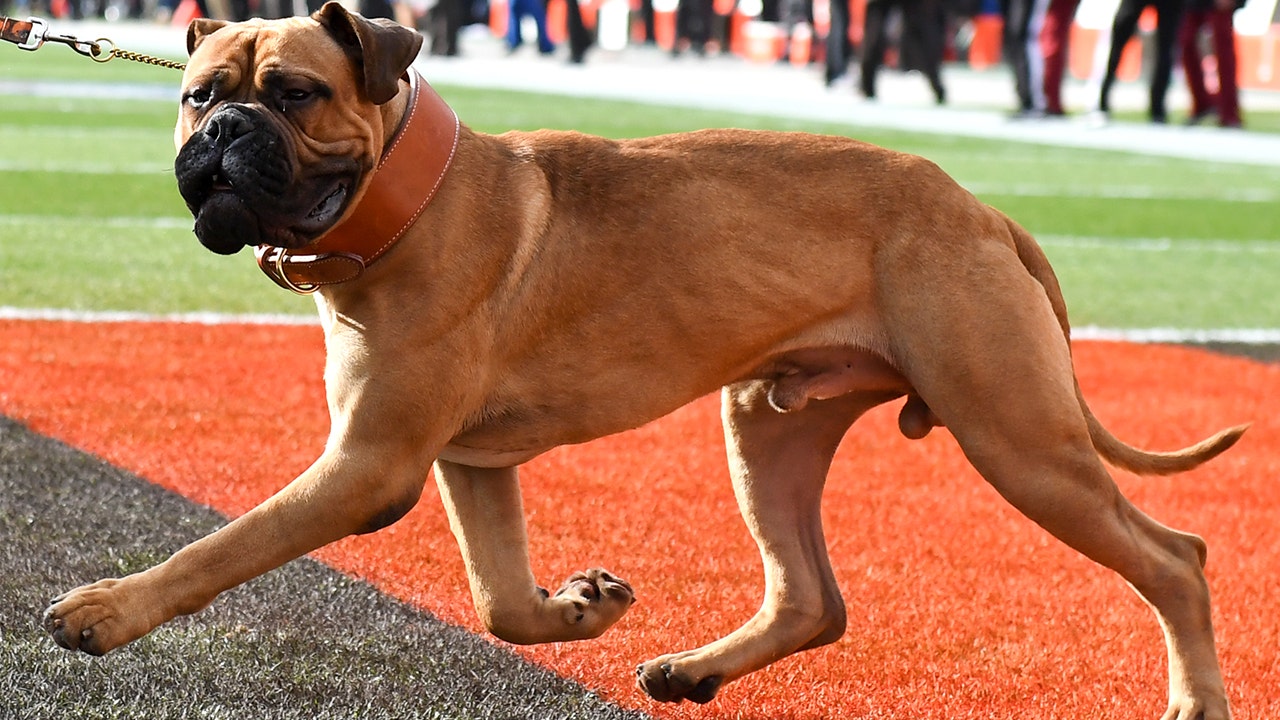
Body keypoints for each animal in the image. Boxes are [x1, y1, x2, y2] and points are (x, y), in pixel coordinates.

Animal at [45, 4, 1244, 712]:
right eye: (199, 94)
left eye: (294, 93)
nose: (220, 134)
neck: (403, 200)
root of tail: (984, 210)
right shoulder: (467, 463)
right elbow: (500, 600)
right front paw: (581, 608)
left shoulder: (367, 465)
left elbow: (224, 545)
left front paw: (109, 609)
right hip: (771, 423)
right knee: (813, 599)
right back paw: (695, 667)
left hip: (1015, 435)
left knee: (1176, 557)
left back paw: (1194, 694)